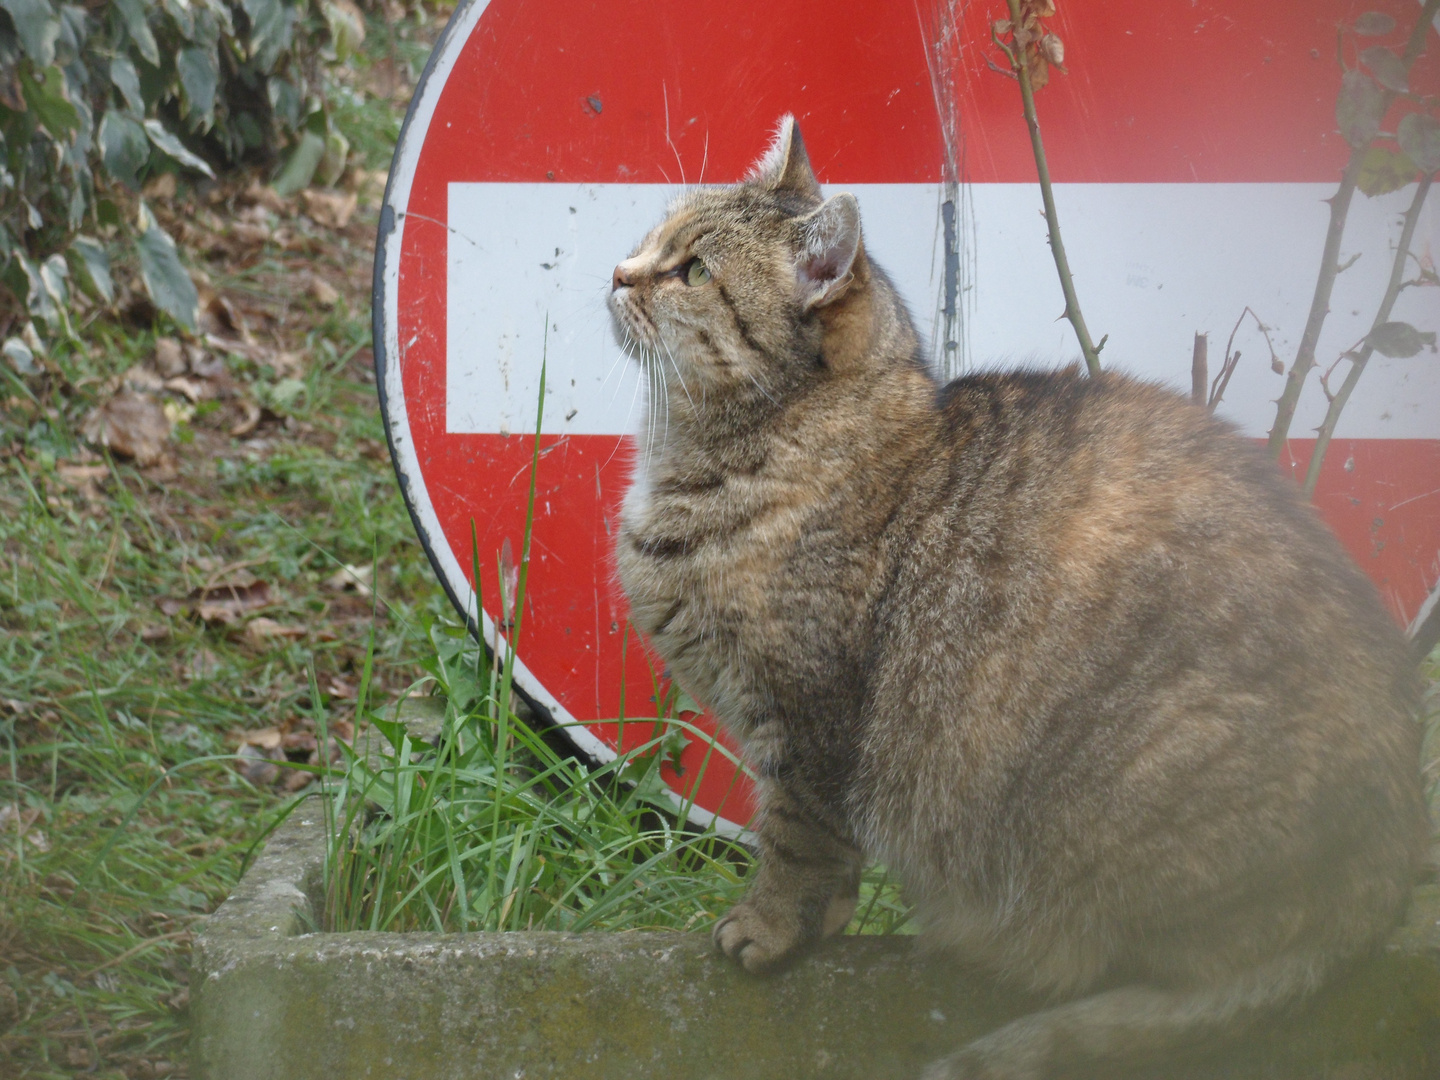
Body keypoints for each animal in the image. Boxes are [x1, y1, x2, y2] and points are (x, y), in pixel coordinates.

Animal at [601, 114, 1422, 1077]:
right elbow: (830, 872)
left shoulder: (808, 721)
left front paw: (768, 930)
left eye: (692, 272)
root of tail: (1386, 878)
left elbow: (797, 842)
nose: (618, 272)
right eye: (655, 236)